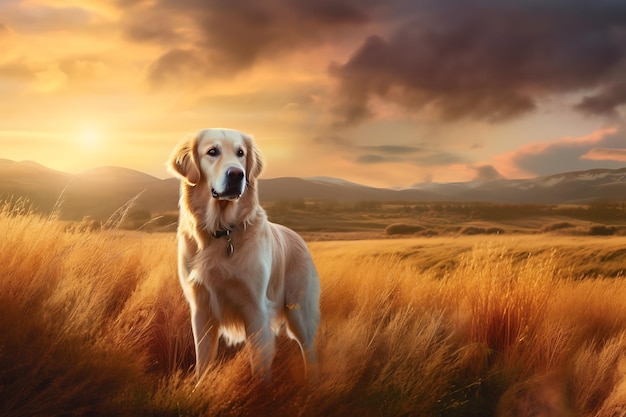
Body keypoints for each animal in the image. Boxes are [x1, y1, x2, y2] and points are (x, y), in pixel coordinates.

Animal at [167, 127, 316, 380]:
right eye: (212, 152)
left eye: (240, 153)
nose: (237, 174)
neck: (222, 232)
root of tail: (298, 236)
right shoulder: (201, 309)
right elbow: (203, 363)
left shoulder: (256, 308)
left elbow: (260, 366)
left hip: (300, 313)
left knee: (309, 351)